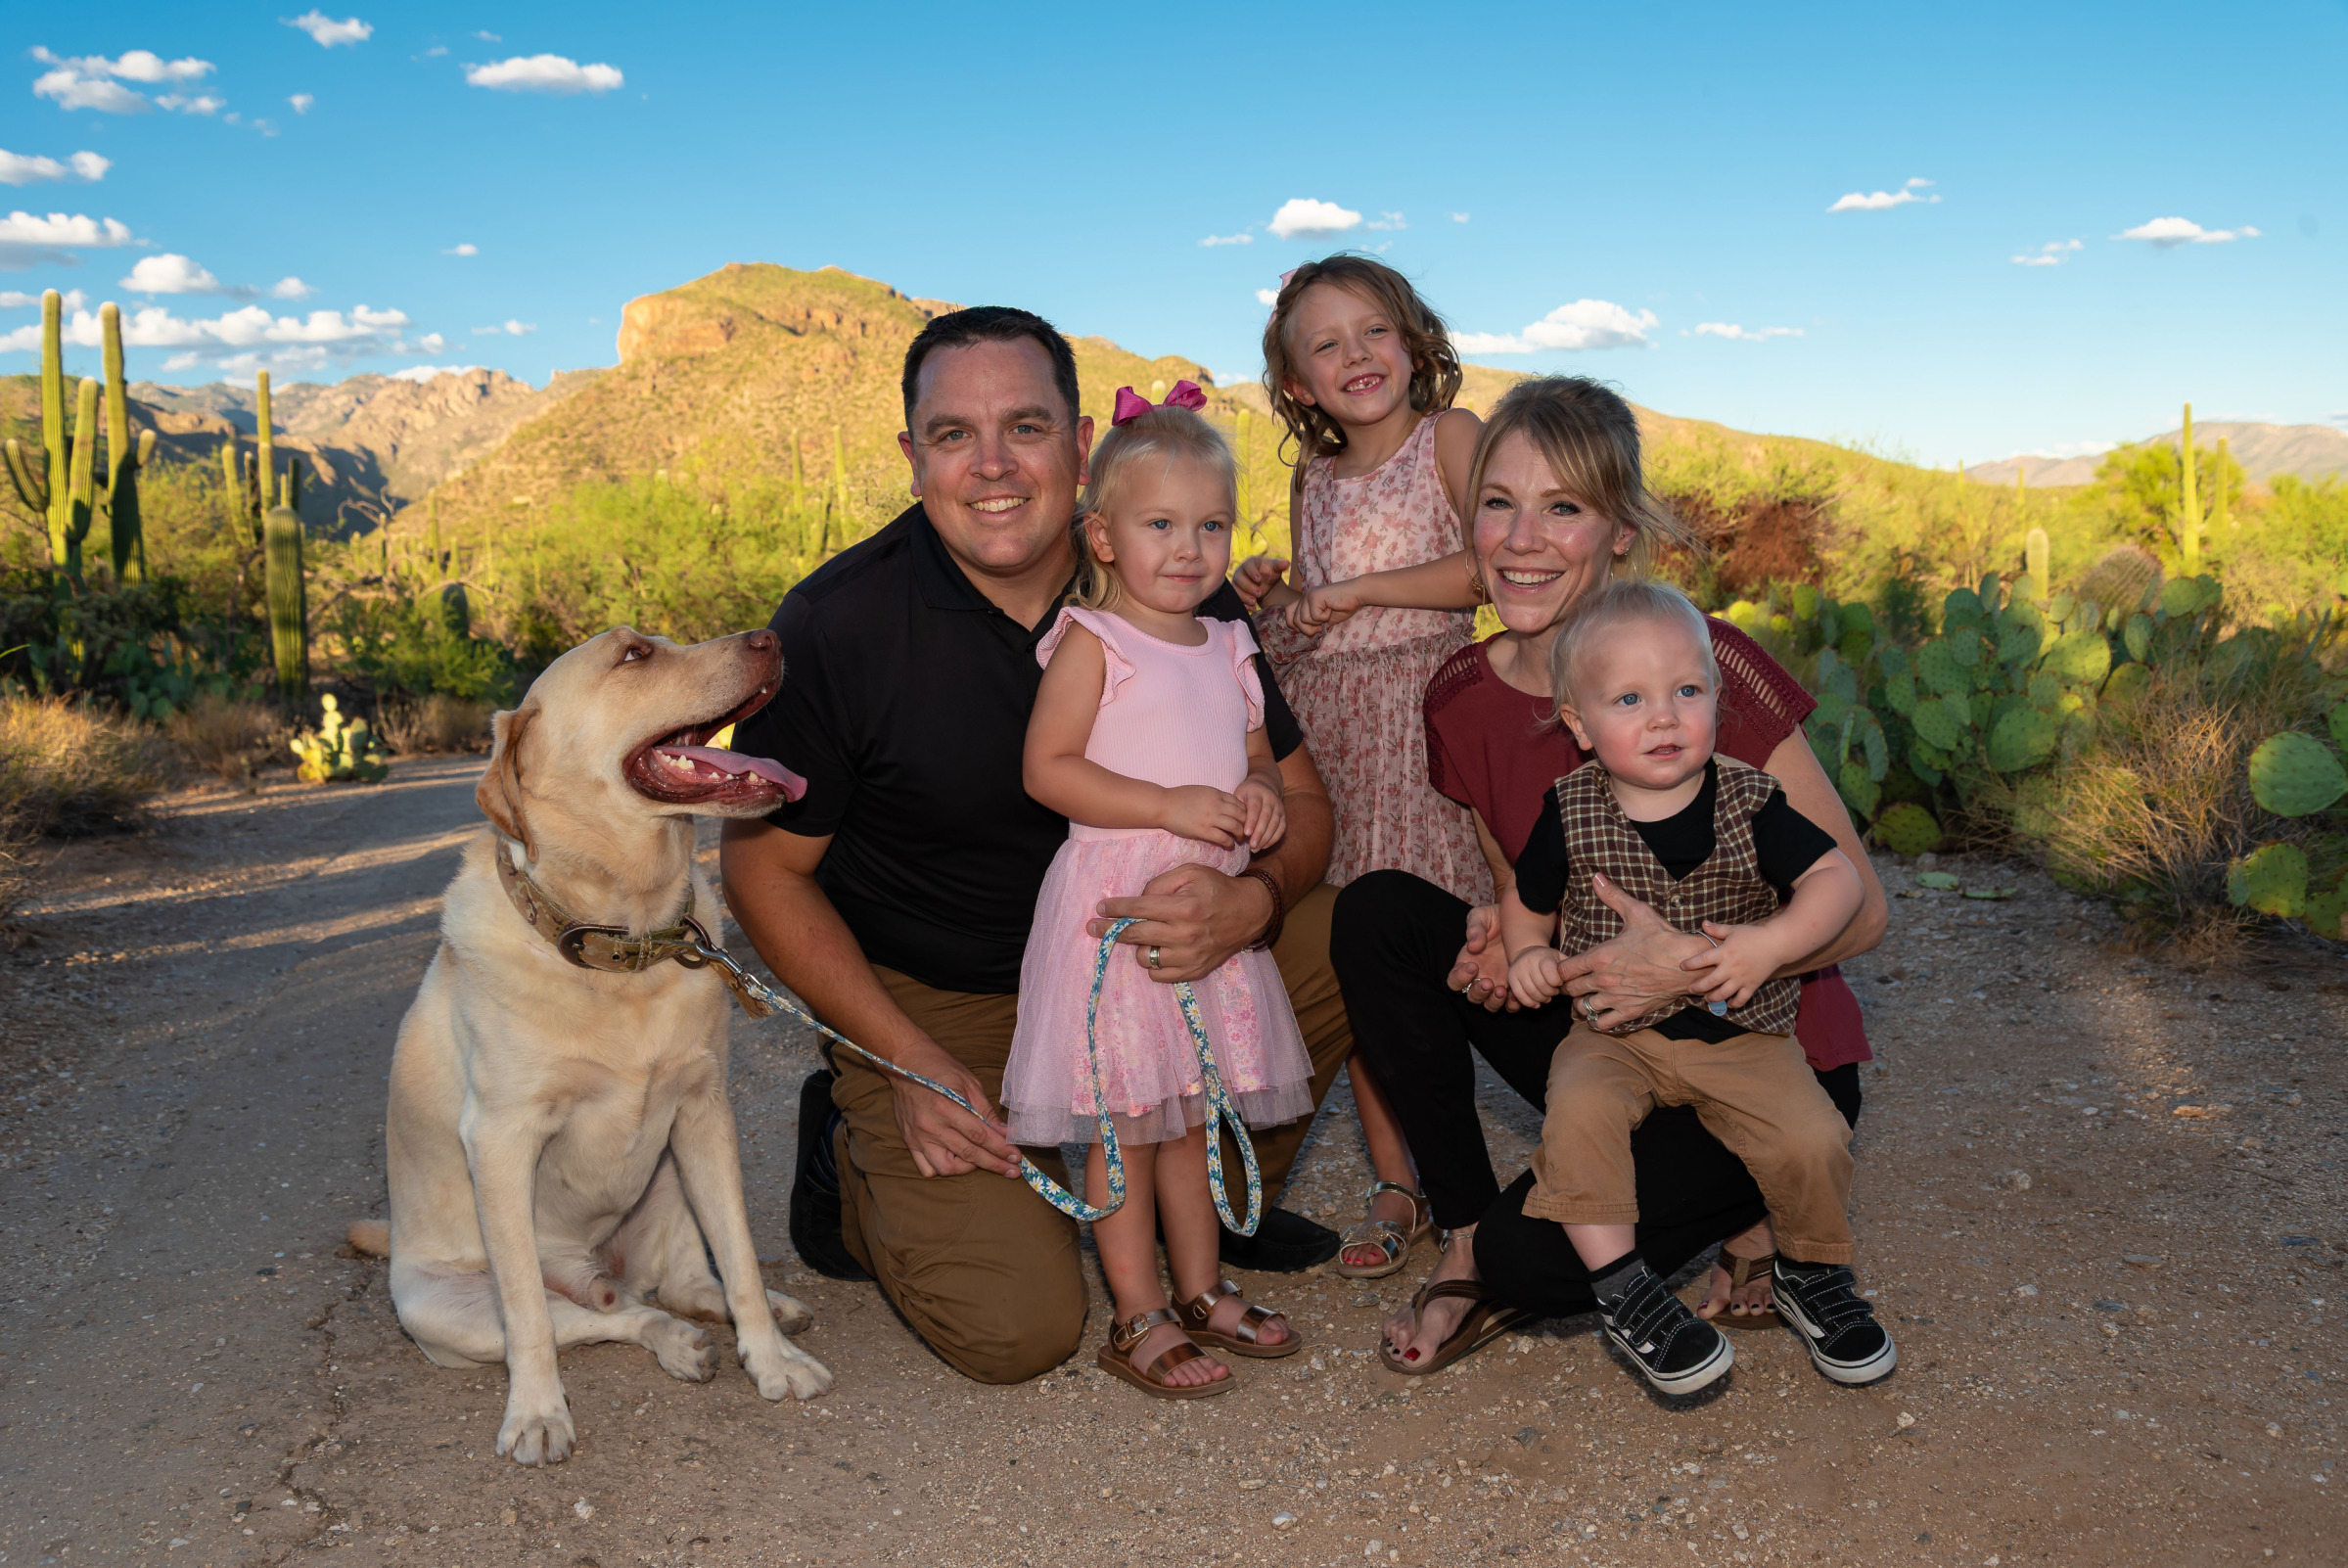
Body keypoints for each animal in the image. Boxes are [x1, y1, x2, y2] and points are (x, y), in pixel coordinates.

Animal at [348, 625, 832, 1466]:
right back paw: (668, 1342)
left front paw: (770, 1360)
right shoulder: (501, 1140)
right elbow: (528, 1318)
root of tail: (596, 1268)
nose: (771, 635)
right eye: (634, 655)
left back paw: (748, 1317)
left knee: (683, 1286)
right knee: (606, 1317)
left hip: (671, 1176)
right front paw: (538, 1413)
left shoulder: (704, 1111)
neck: (621, 944)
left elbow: (738, 1258)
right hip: (447, 1310)